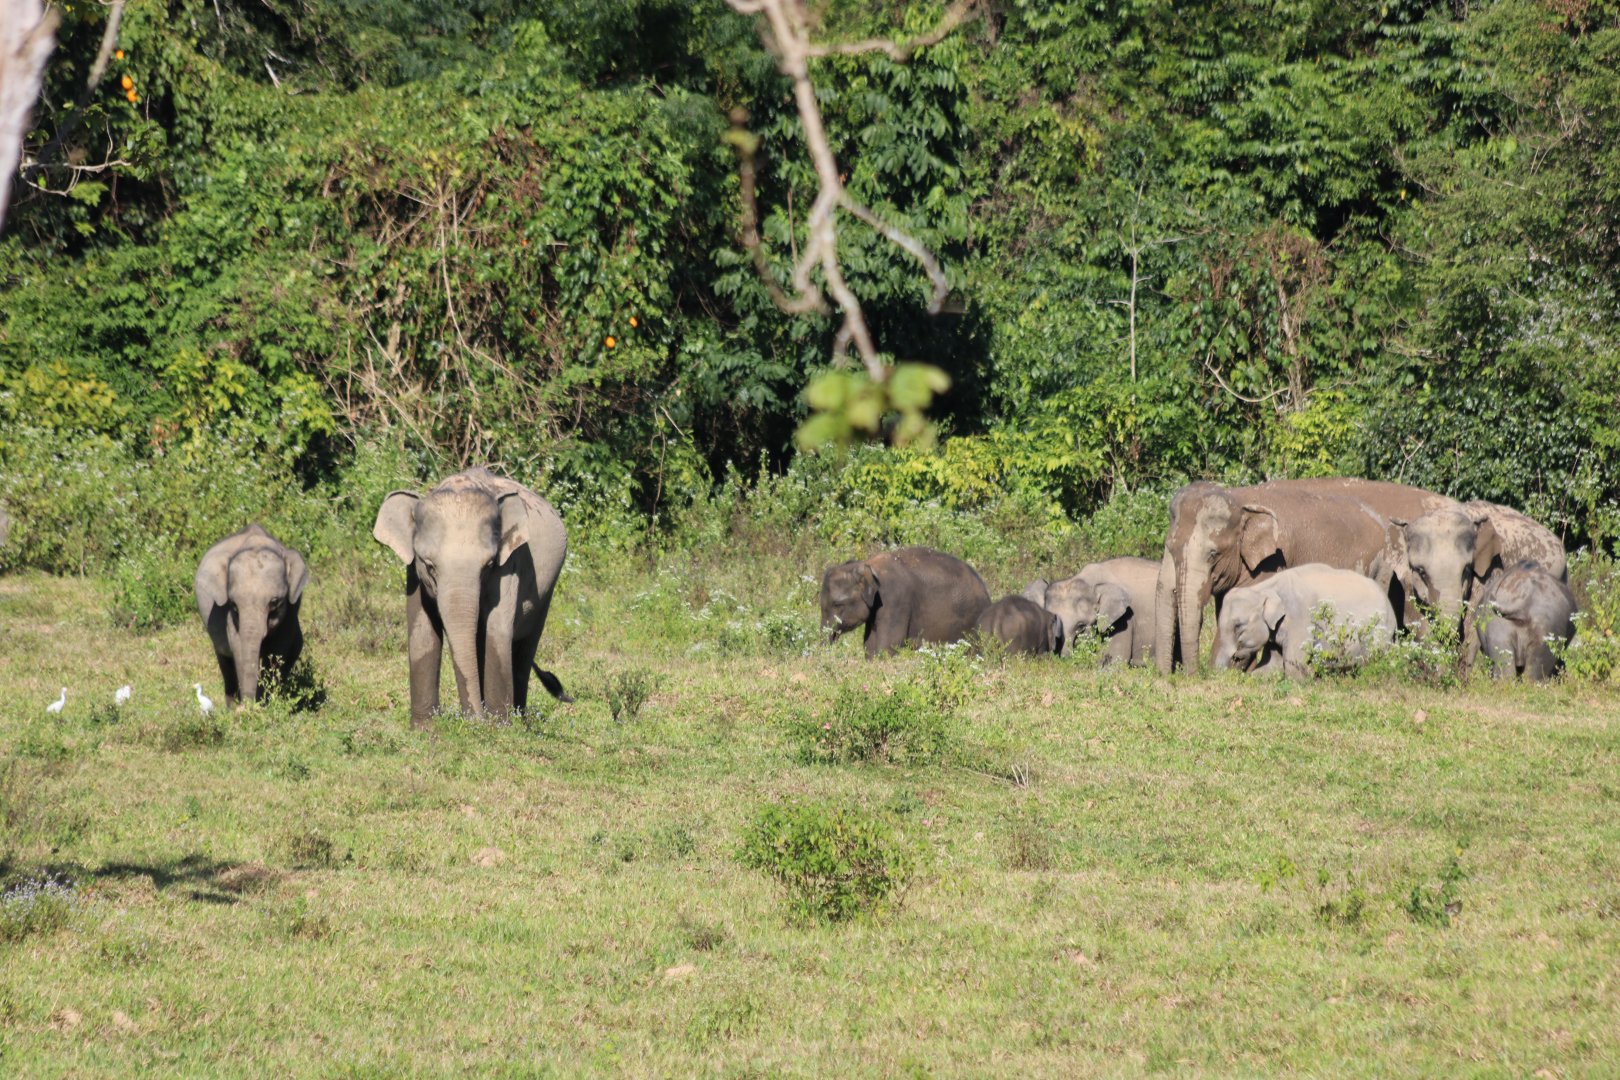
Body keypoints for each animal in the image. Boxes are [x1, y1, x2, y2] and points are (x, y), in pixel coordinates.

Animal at [194, 524, 308, 706]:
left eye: (274, 602)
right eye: (234, 605)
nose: (247, 705)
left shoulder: (290, 608)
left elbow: (279, 648)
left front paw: (266, 703)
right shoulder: (228, 614)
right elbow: (238, 645)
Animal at [373, 467, 569, 726]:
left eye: (488, 565)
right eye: (429, 565)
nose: (475, 721)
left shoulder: (511, 564)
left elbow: (497, 631)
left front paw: (499, 727)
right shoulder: (413, 571)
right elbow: (423, 633)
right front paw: (425, 729)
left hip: (548, 590)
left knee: (524, 648)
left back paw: (519, 719)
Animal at [1212, 564, 1397, 679]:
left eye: (1238, 626)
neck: (1264, 588)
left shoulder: (1300, 617)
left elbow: (1294, 663)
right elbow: (1271, 664)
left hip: (1380, 630)